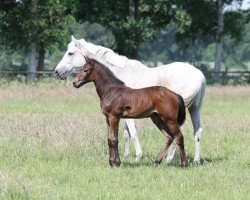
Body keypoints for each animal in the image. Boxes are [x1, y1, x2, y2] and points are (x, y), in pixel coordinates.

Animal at [55, 36, 206, 164]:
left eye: (70, 53)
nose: (57, 71)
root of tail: (199, 75)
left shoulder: (121, 116)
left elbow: (130, 134)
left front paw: (135, 157)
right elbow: (123, 135)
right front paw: (124, 157)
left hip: (172, 116)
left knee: (177, 135)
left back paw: (171, 160)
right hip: (192, 109)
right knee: (195, 132)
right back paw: (194, 160)